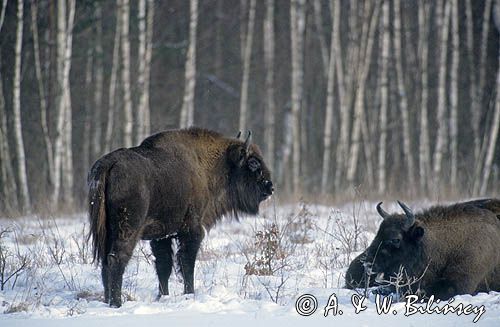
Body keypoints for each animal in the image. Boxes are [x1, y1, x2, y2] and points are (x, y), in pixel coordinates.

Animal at [86, 128, 274, 308]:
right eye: (253, 162)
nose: (270, 187)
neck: (210, 165)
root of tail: (108, 164)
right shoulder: (191, 230)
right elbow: (186, 264)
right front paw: (189, 294)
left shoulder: (161, 236)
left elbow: (164, 266)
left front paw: (163, 296)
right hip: (128, 230)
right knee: (116, 260)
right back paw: (116, 304)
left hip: (107, 231)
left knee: (105, 262)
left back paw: (107, 301)